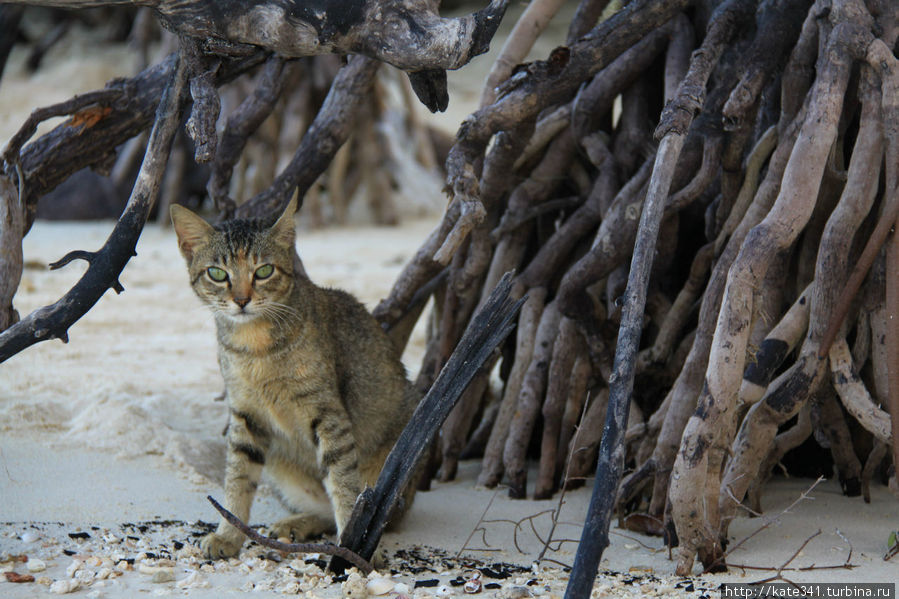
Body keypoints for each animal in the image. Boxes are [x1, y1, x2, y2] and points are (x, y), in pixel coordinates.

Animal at [173, 202, 422, 564]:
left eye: (263, 271)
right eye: (217, 274)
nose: (242, 300)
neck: (256, 347)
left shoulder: (328, 414)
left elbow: (344, 483)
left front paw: (354, 549)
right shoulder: (245, 415)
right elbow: (237, 477)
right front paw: (228, 535)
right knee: (322, 509)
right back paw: (297, 524)